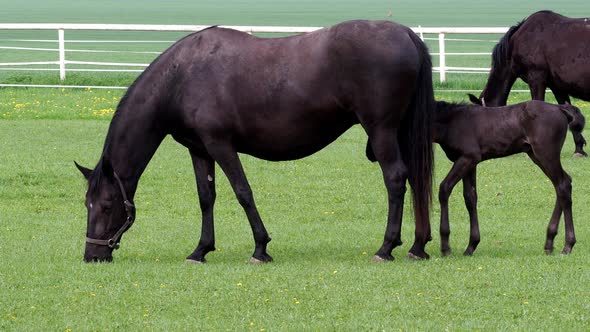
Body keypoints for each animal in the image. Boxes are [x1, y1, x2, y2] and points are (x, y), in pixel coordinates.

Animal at [75, 21, 440, 264]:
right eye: (86, 205)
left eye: (106, 205)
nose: (93, 255)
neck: (181, 77)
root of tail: (405, 33)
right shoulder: (199, 149)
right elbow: (206, 198)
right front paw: (201, 250)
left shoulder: (221, 145)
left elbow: (243, 192)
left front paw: (261, 248)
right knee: (414, 179)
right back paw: (417, 246)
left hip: (381, 131)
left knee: (395, 179)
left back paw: (386, 247)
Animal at [434, 101, 584, 256]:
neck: (453, 121)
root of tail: (560, 108)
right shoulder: (470, 162)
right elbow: (470, 197)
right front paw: (471, 246)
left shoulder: (468, 158)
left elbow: (444, 188)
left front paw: (445, 248)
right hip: (537, 155)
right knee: (563, 183)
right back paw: (549, 242)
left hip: (546, 154)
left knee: (562, 185)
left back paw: (567, 245)